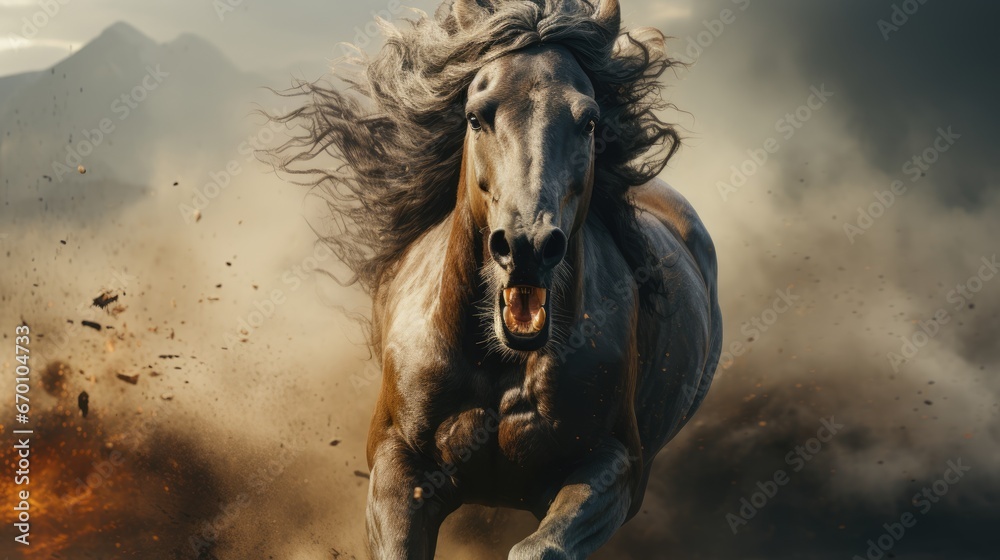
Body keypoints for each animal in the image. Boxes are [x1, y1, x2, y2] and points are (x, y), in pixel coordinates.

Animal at [273, 0, 722, 557]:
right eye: (475, 116)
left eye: (590, 121)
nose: (528, 245)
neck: (496, 363)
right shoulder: (396, 461)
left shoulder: (613, 466)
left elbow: (539, 546)